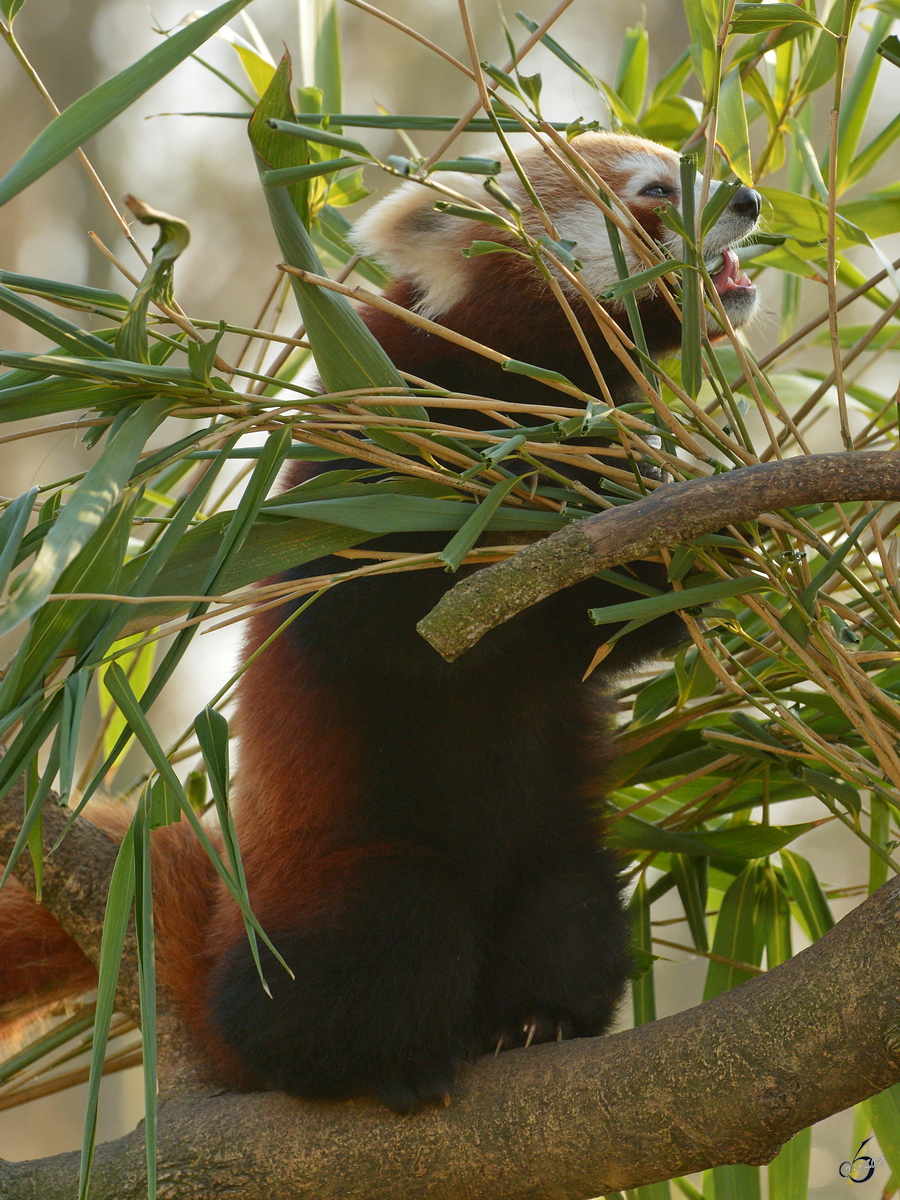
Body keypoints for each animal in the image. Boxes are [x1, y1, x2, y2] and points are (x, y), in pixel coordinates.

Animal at [0, 133, 763, 1113]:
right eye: (659, 190)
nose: (748, 198)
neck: (525, 400)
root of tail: (215, 953)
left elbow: (613, 629)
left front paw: (711, 535)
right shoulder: (367, 465)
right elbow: (402, 631)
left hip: (556, 855)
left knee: (573, 909)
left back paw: (534, 1022)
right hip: (327, 889)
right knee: (396, 927)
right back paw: (379, 1064)